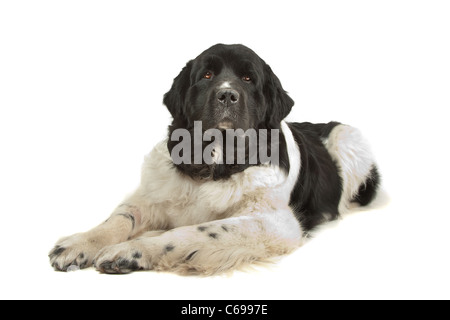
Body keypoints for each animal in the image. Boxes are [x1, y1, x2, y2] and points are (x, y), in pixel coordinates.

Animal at [49, 43, 380, 276]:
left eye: (248, 78)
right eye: (207, 75)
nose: (227, 95)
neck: (217, 162)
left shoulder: (275, 221)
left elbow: (195, 230)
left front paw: (132, 250)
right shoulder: (152, 195)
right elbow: (121, 217)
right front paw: (79, 243)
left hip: (348, 137)